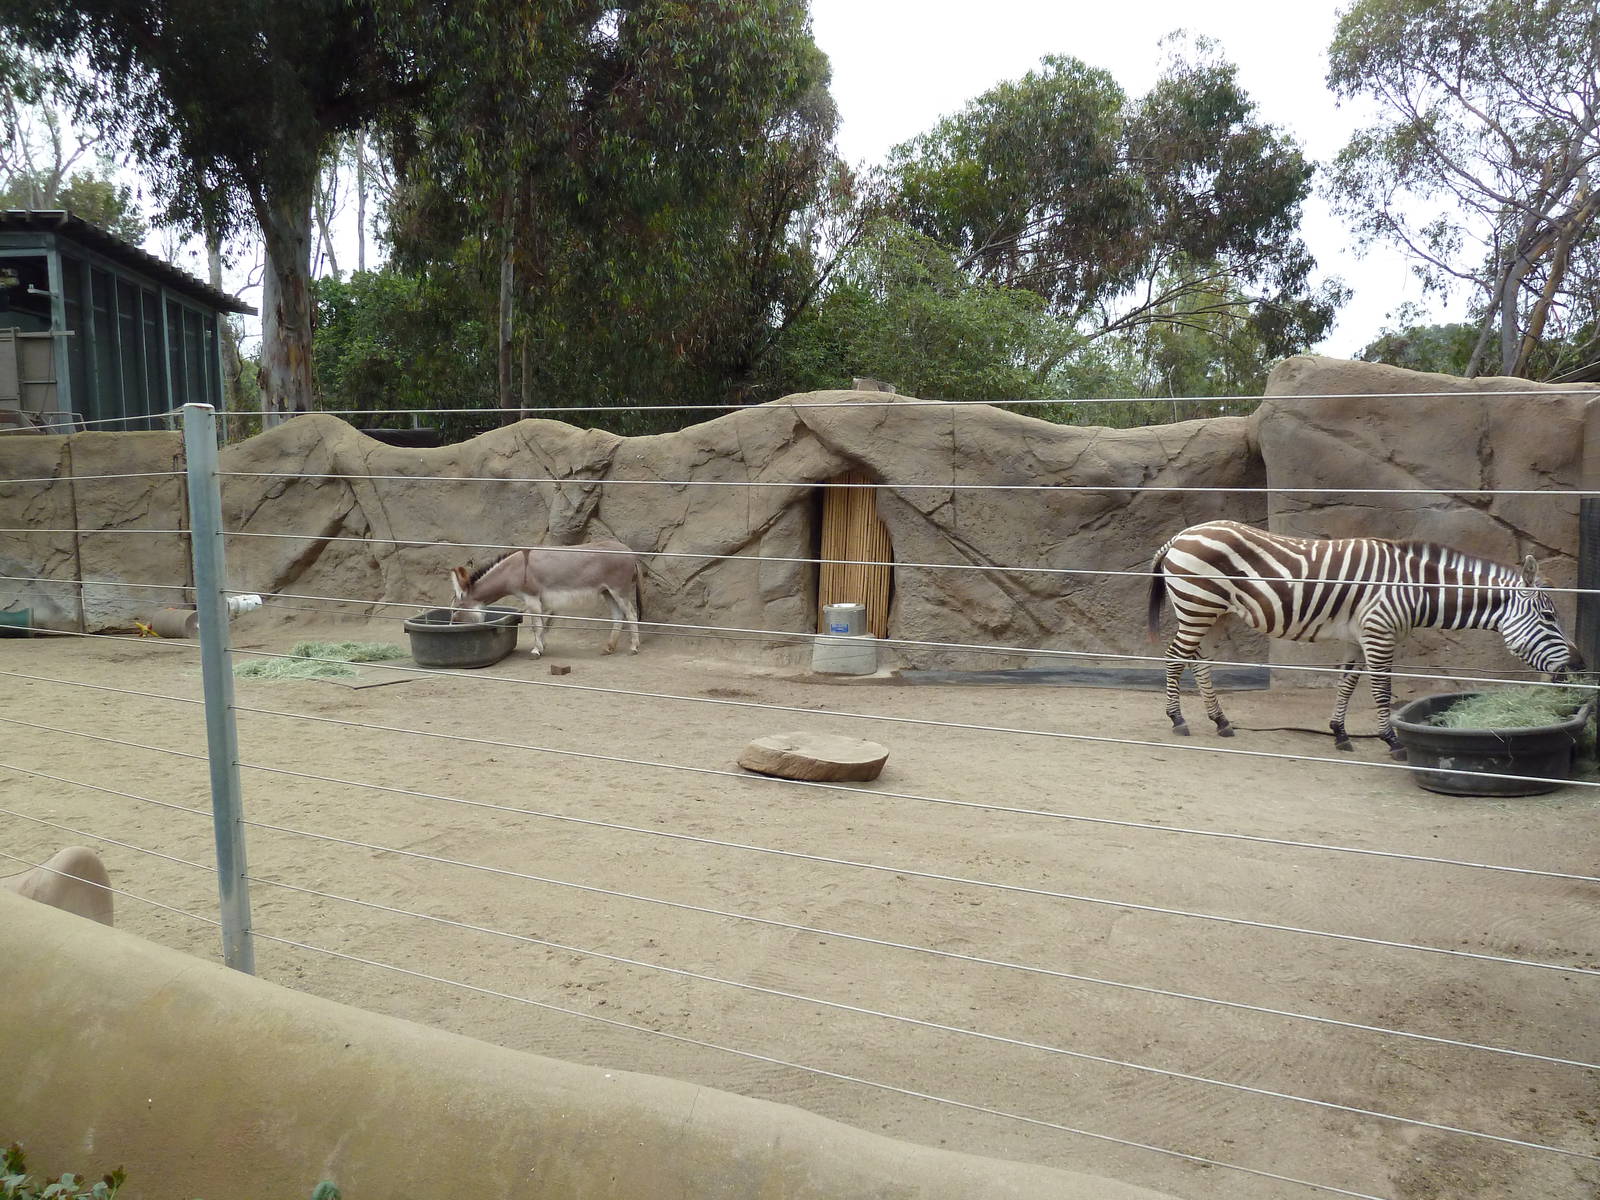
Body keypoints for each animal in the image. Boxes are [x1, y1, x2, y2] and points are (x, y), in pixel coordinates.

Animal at [1146, 520, 1583, 759]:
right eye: (1549, 616)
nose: (1579, 667)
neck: (1416, 588)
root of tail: (1179, 537)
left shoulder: (1359, 637)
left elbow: (1347, 683)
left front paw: (1339, 733)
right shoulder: (1379, 632)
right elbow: (1382, 691)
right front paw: (1392, 741)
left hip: (1210, 612)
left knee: (1198, 659)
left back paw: (1220, 720)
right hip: (1198, 604)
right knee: (1174, 656)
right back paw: (1177, 719)